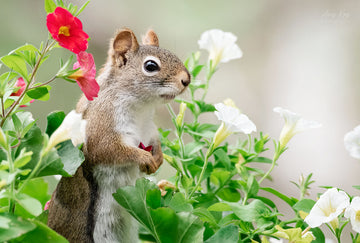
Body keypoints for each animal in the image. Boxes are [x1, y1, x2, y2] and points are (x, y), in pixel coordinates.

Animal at [47, 29, 191, 243]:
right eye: (150, 66)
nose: (186, 80)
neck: (141, 108)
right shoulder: (101, 126)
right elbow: (109, 150)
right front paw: (144, 158)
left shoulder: (149, 129)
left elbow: (155, 141)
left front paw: (158, 158)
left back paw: (164, 187)